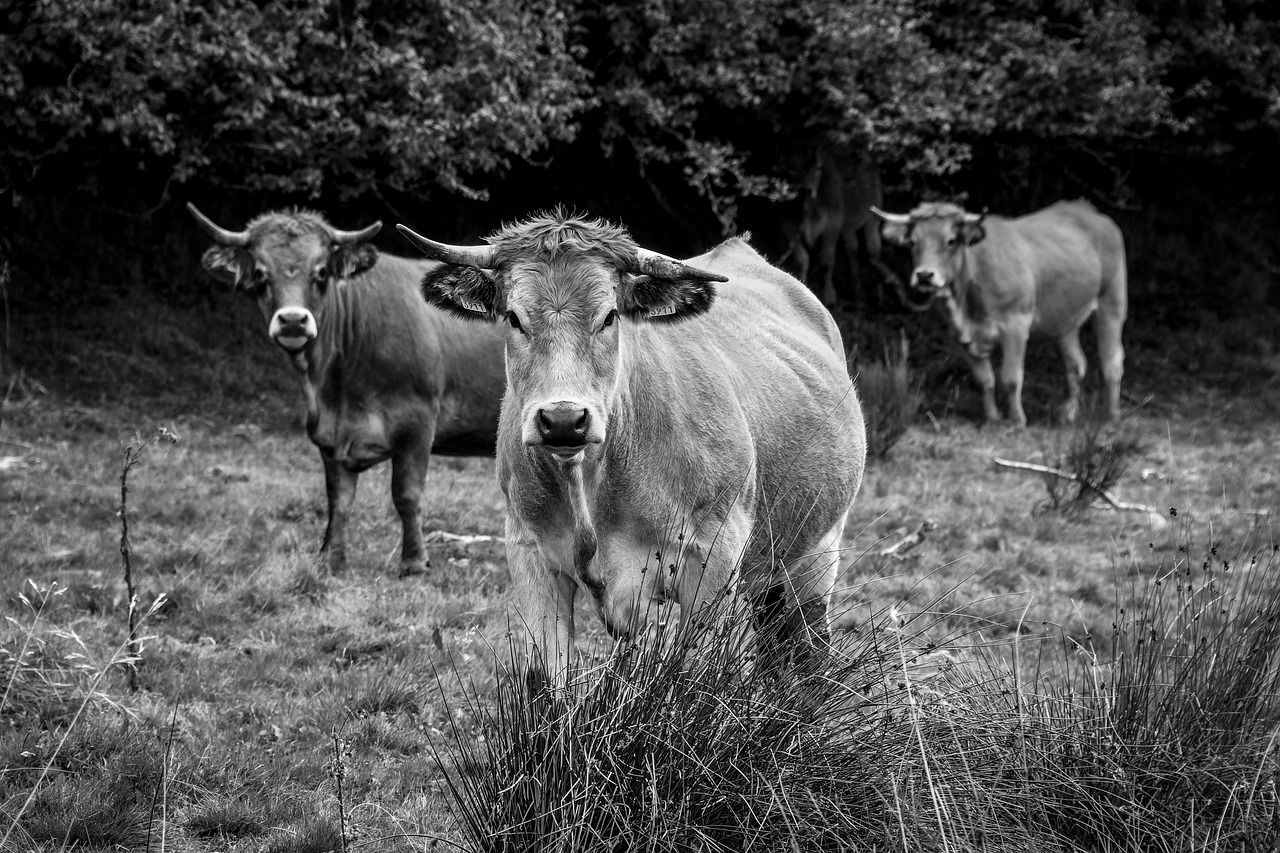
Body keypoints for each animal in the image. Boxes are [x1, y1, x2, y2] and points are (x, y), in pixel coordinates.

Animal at [186, 203, 506, 573]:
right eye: (261, 275)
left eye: (321, 272)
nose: (293, 320)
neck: (335, 391)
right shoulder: (329, 435)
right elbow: (338, 498)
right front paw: (330, 555)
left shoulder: (418, 421)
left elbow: (406, 494)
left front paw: (413, 561)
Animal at [394, 208, 865, 686]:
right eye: (513, 317)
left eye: (609, 316)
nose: (563, 419)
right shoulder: (530, 558)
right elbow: (547, 682)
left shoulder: (714, 563)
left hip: (816, 555)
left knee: (808, 653)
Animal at [870, 199, 1131, 425]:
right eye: (912, 242)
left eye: (951, 240)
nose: (924, 275)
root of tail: (1088, 211)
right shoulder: (960, 336)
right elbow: (984, 379)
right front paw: (992, 418)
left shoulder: (1016, 325)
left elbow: (1010, 378)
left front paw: (1017, 420)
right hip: (1065, 317)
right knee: (1075, 363)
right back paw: (1068, 414)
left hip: (1111, 302)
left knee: (1112, 361)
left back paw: (1111, 414)